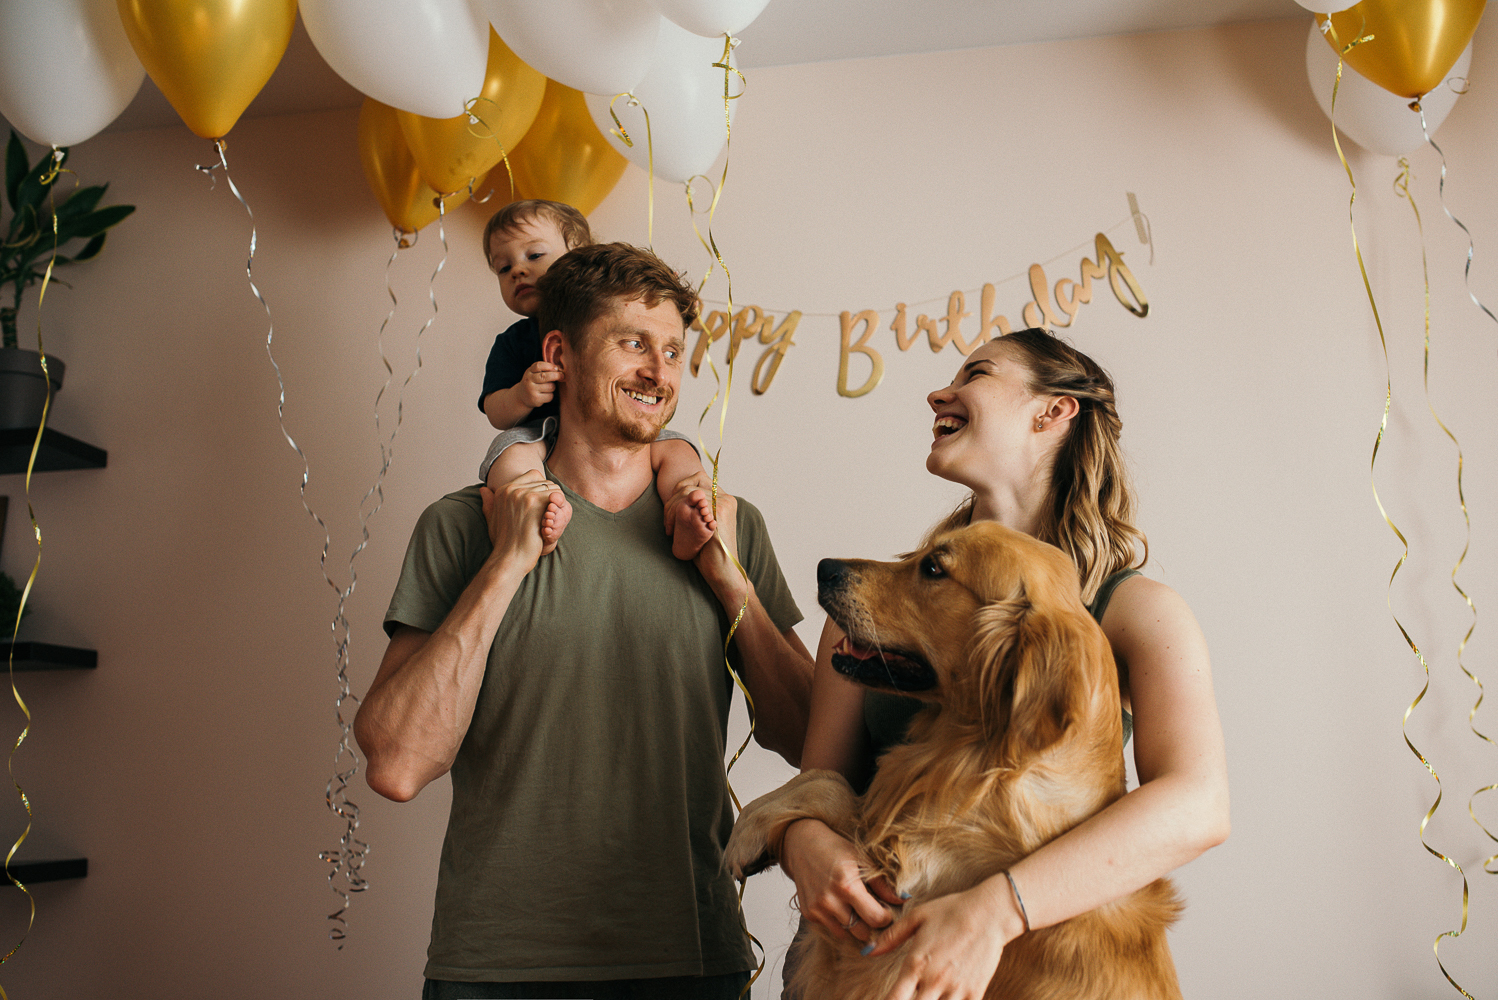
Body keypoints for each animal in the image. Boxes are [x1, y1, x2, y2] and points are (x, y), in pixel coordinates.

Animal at [725, 523, 1180, 999]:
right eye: (920, 555)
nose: (825, 568)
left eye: (933, 568)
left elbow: (838, 791)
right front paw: (751, 822)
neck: (984, 753)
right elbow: (826, 776)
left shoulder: (887, 936)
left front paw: (745, 834)